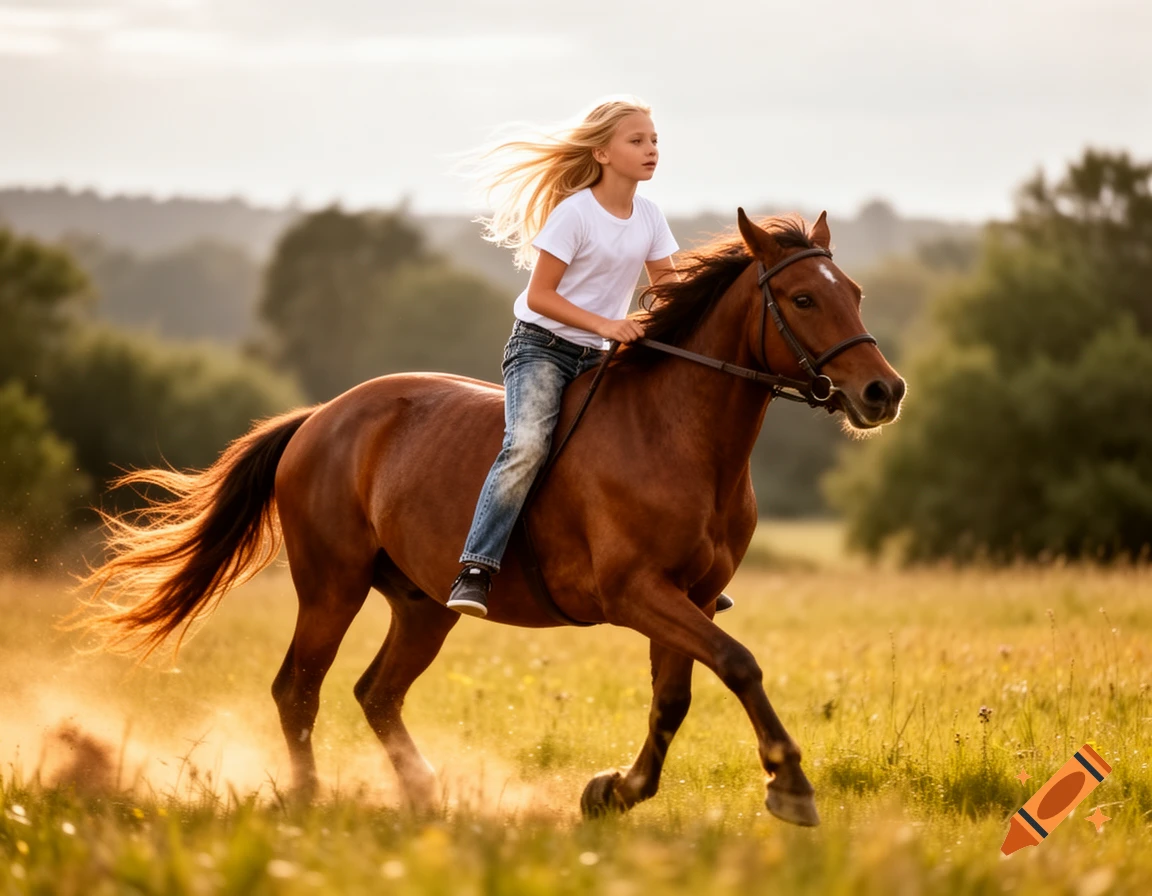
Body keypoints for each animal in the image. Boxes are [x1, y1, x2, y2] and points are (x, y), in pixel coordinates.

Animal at [77, 209, 904, 827]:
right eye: (803, 299)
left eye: (857, 292)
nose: (883, 392)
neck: (680, 435)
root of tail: (319, 417)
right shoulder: (637, 592)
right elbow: (738, 663)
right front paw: (790, 785)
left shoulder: (689, 597)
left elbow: (674, 699)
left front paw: (612, 793)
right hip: (331, 587)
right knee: (298, 690)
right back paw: (310, 799)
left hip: (424, 606)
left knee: (375, 693)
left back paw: (424, 794)